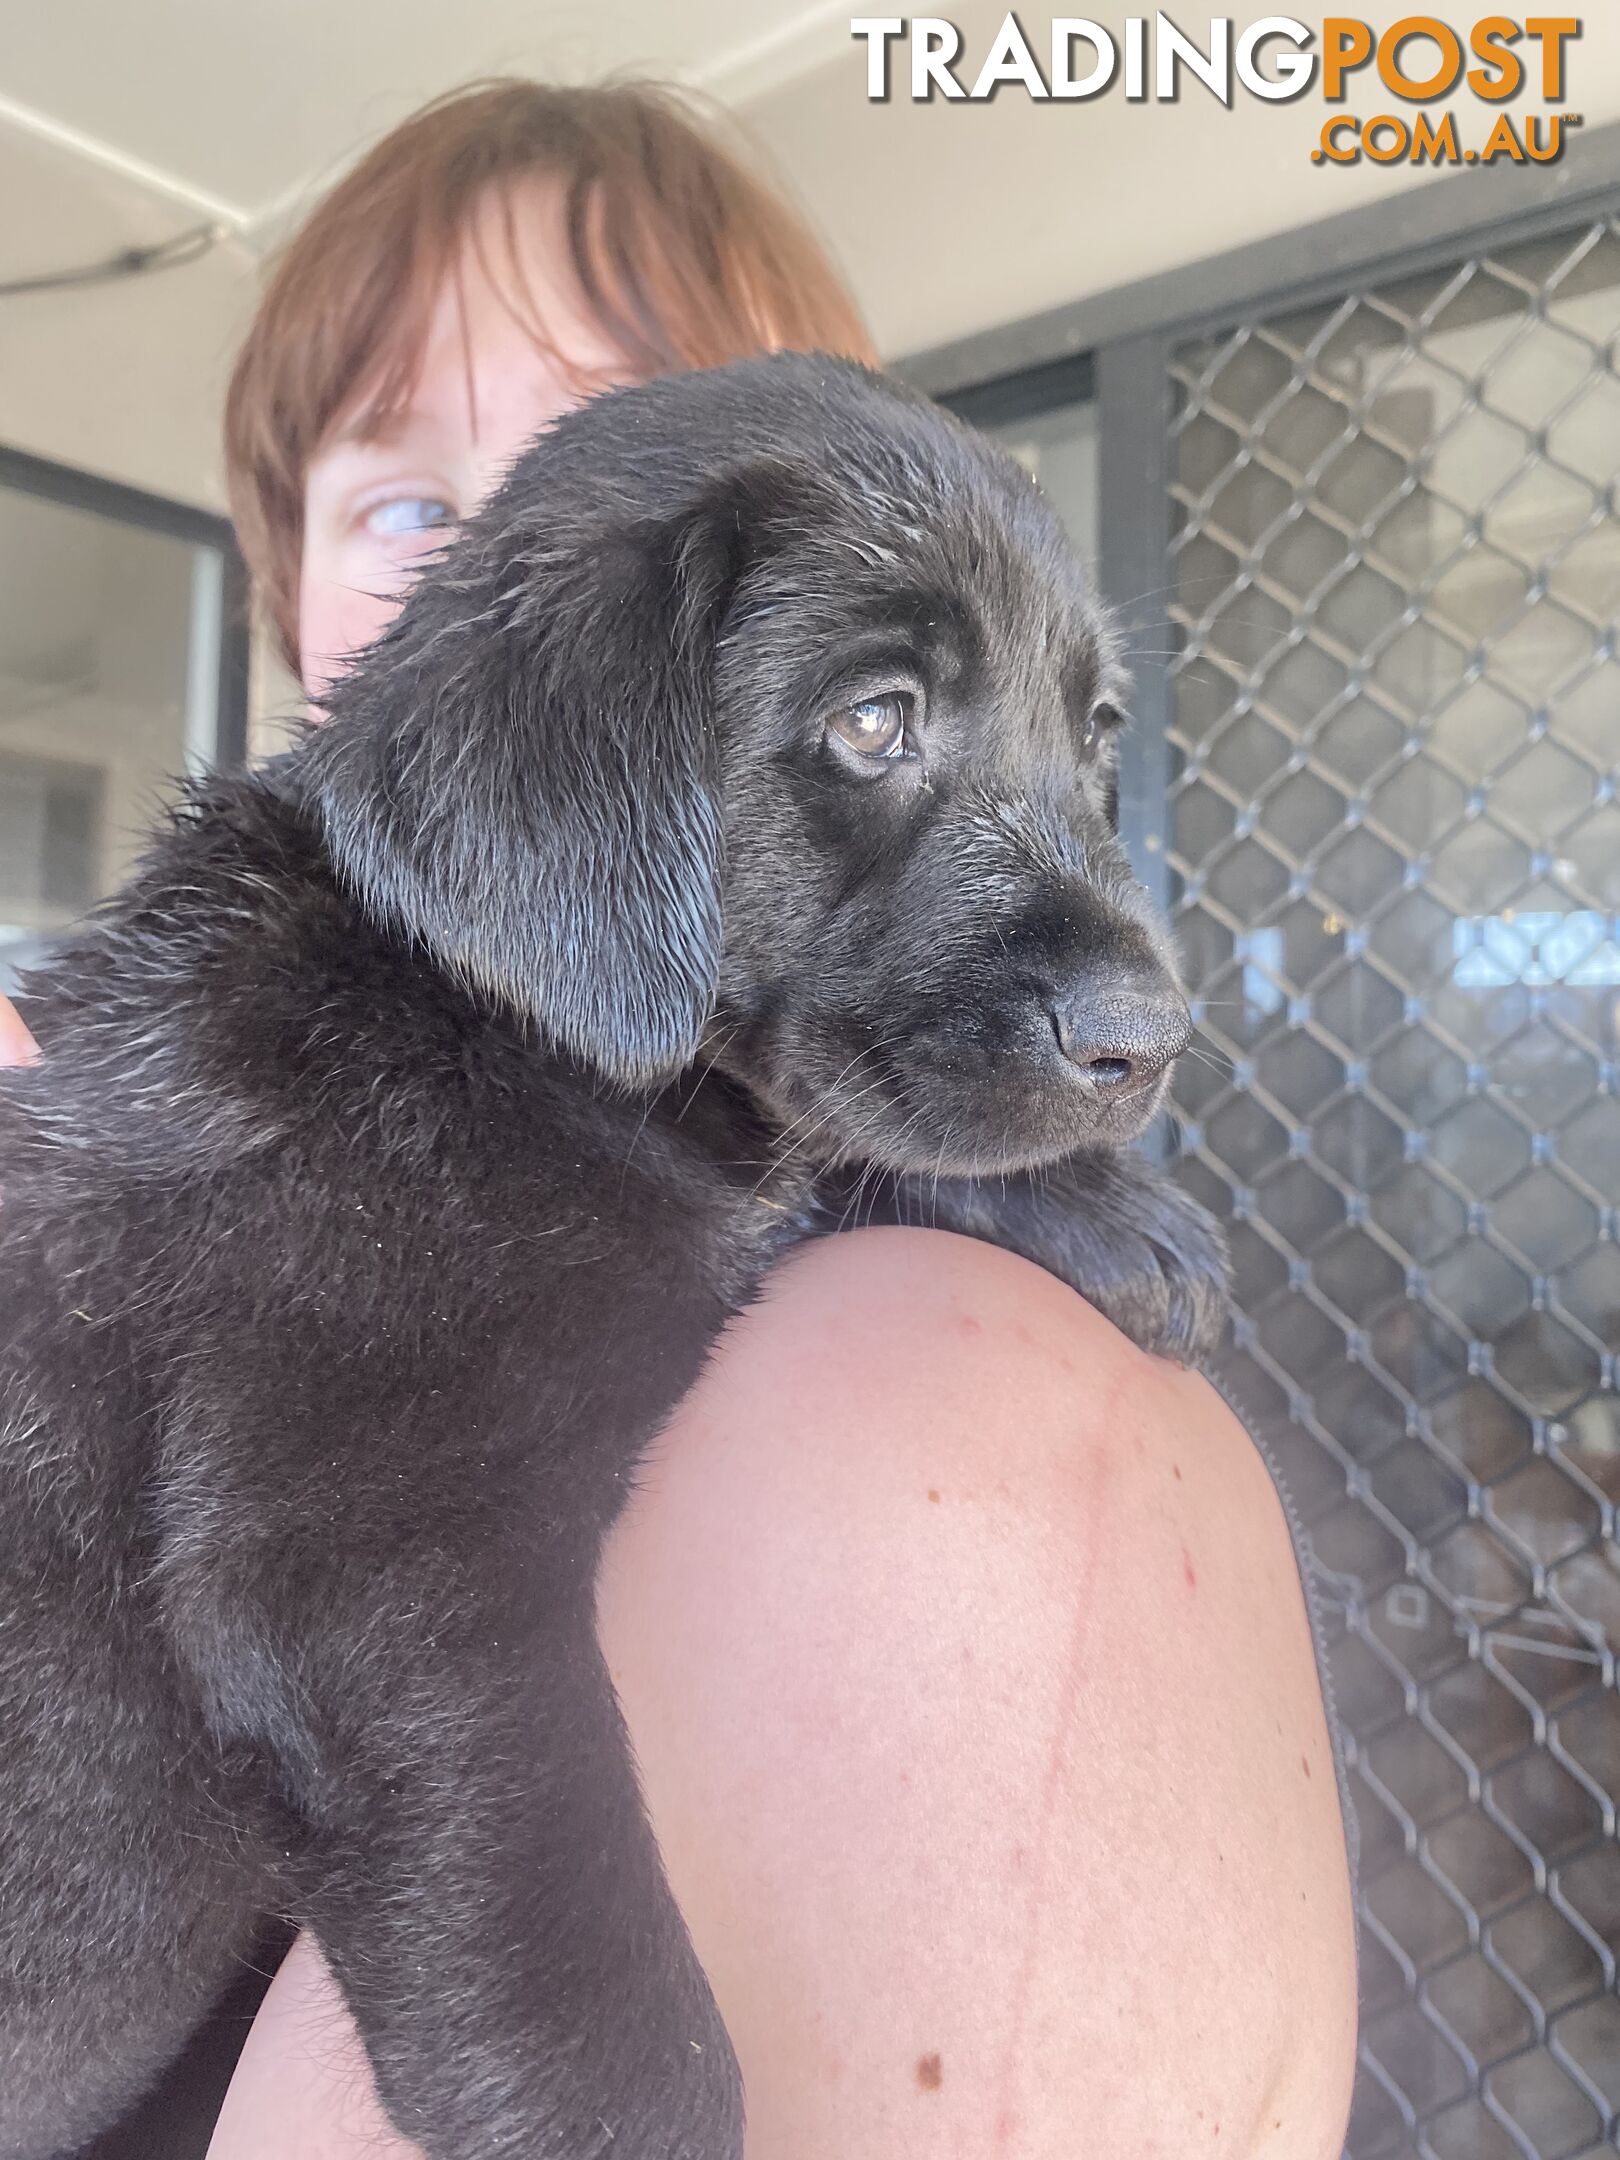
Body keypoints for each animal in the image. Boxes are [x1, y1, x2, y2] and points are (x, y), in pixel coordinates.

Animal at [0, 354, 1226, 2160]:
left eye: (1098, 733)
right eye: (876, 719)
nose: (1151, 1042)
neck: (480, 1021)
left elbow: (825, 1157)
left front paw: (1101, 1208)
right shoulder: (360, 1562)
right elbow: (593, 1989)